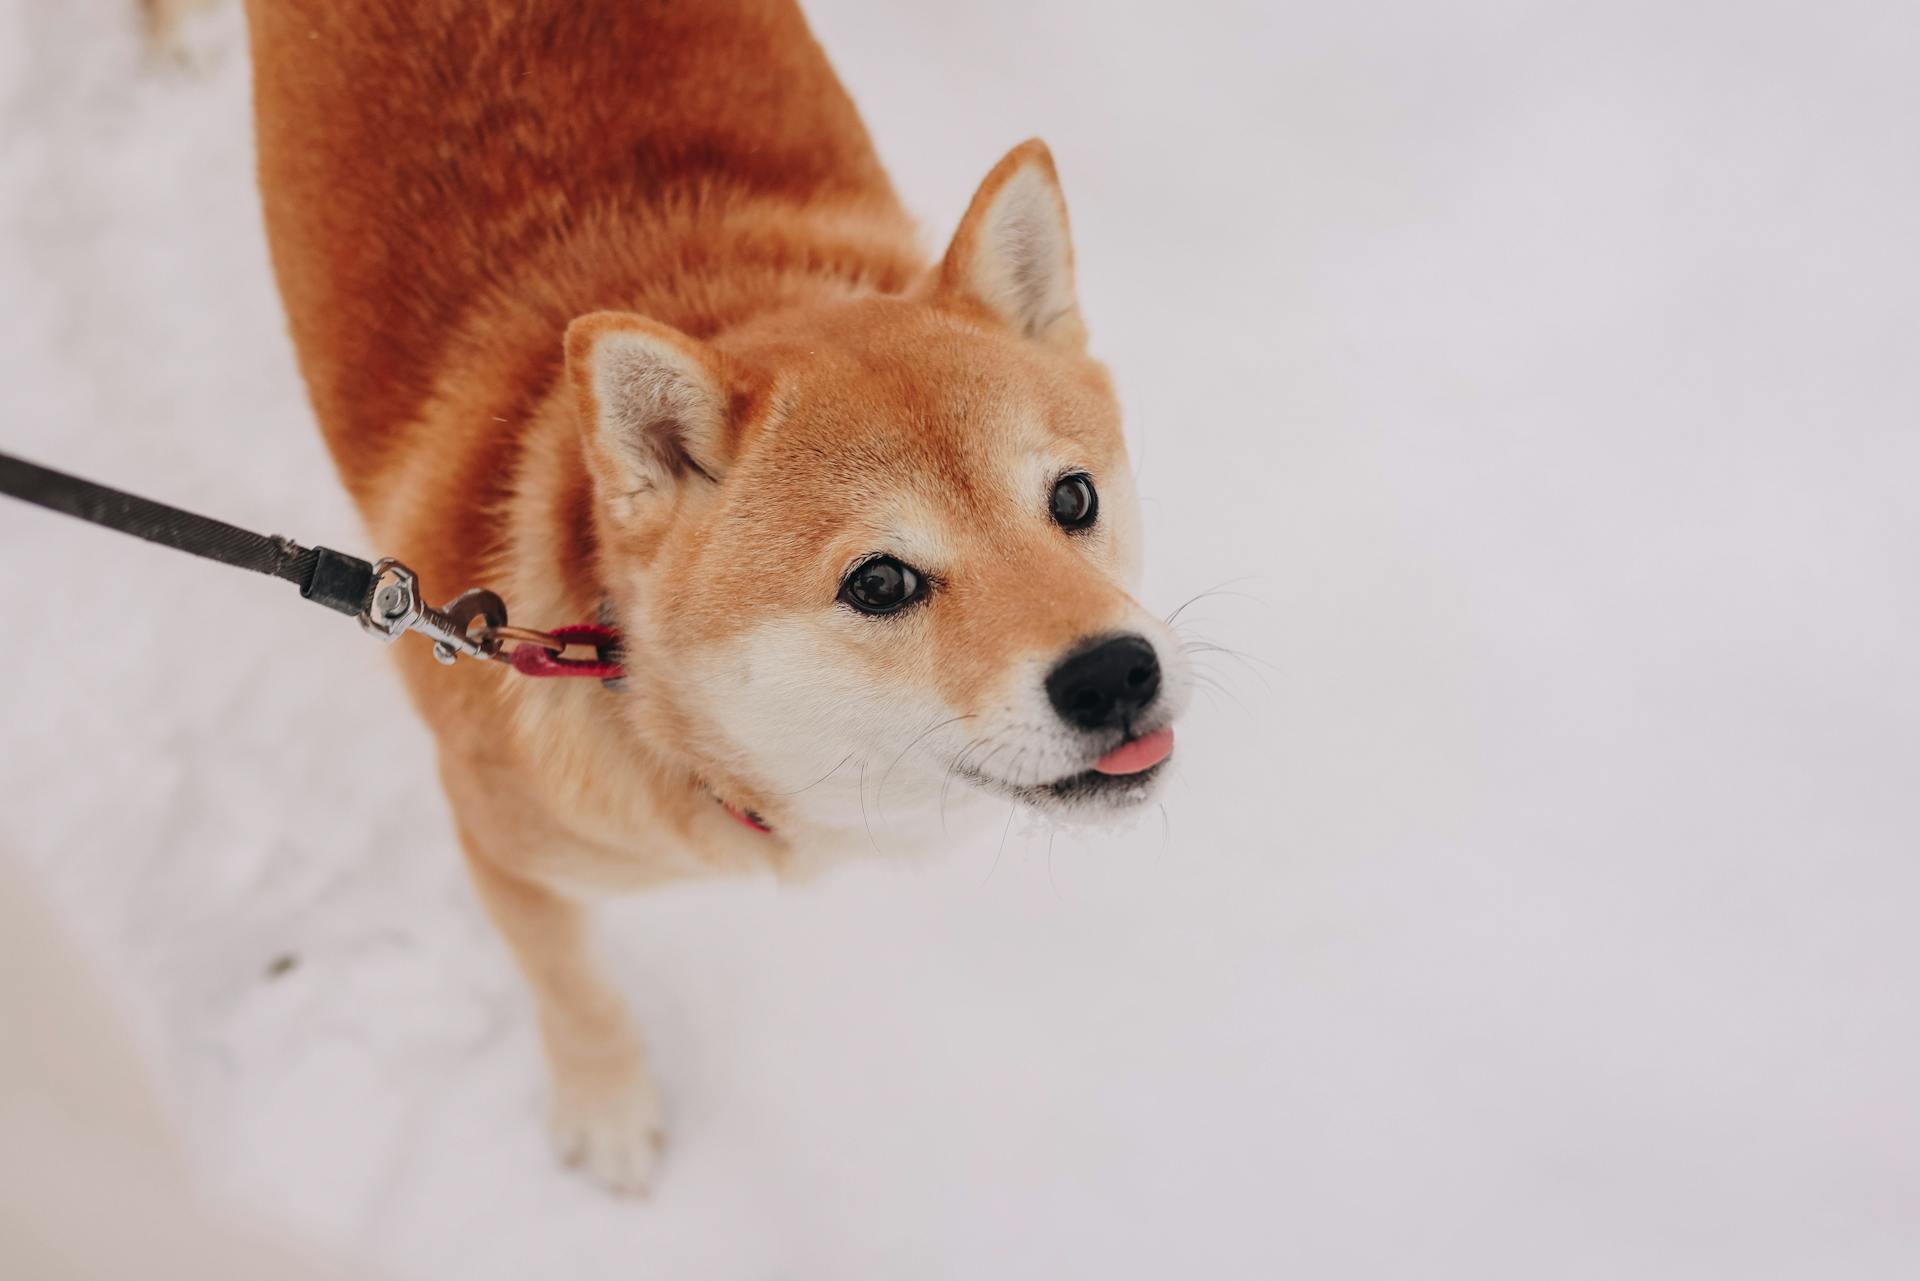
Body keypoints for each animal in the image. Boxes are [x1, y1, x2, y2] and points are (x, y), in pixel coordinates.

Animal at [247, 0, 1190, 1190]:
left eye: (1071, 498)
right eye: (880, 580)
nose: (1117, 673)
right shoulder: (503, 853)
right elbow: (573, 989)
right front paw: (606, 1107)